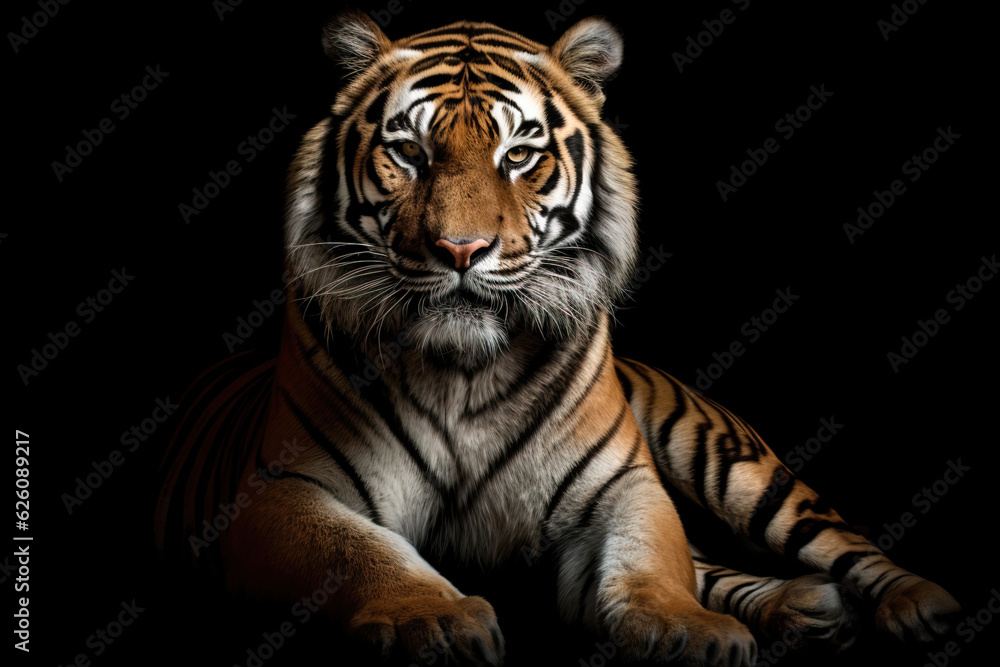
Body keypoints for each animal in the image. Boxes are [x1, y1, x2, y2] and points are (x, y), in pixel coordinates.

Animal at [155, 11, 961, 666]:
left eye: (519, 155)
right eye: (409, 153)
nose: (461, 249)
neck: (462, 369)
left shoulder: (623, 484)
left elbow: (655, 562)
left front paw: (686, 629)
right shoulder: (283, 492)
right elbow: (364, 555)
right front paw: (434, 618)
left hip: (727, 458)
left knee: (830, 539)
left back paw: (914, 605)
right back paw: (806, 607)